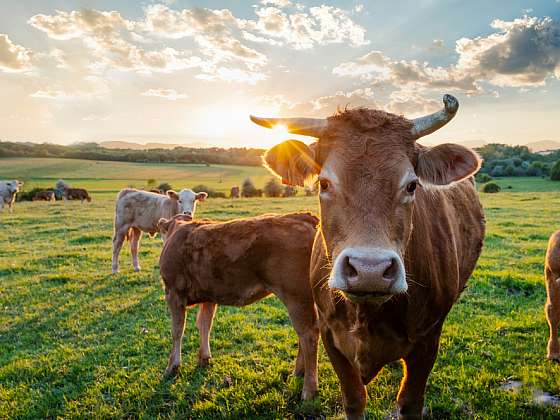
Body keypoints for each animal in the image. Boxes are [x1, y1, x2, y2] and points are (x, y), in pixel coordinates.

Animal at [160, 213, 322, 400]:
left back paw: (308, 390)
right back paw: (298, 372)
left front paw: (172, 367)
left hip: (296, 296)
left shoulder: (173, 292)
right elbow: (204, 324)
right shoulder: (209, 296)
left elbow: (177, 330)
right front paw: (204, 358)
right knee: (303, 334)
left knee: (308, 334)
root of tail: (300, 216)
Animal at [249, 93, 486, 418]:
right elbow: (354, 398)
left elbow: (410, 401)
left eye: (412, 185)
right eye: (324, 183)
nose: (370, 270)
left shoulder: (428, 340)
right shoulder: (331, 336)